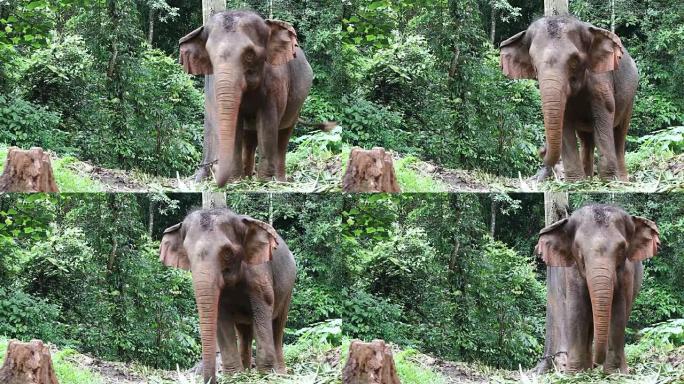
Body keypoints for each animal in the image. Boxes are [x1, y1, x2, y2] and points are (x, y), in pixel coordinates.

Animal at [162, 208, 298, 384]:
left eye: (227, 253)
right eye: (187, 254)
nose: (211, 379)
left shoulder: (259, 275)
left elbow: (263, 311)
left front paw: (266, 376)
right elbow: (221, 318)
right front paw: (235, 377)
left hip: (289, 287)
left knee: (278, 326)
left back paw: (280, 374)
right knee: (244, 331)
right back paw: (247, 372)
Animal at [179, 10, 312, 186]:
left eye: (249, 55)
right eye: (210, 57)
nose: (214, 171)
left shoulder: (276, 82)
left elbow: (267, 124)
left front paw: (264, 182)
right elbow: (237, 125)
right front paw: (235, 181)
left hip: (297, 106)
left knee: (283, 137)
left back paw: (280, 182)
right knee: (250, 138)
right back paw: (247, 178)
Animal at [500, 16, 640, 182]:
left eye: (574, 60)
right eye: (533, 63)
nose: (541, 149)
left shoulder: (601, 81)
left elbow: (603, 117)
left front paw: (609, 182)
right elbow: (565, 123)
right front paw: (576, 183)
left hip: (630, 97)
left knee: (620, 134)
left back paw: (622, 181)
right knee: (586, 139)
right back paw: (588, 179)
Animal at [536, 206, 660, 374]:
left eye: (622, 248)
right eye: (579, 250)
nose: (597, 363)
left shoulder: (626, 274)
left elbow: (618, 310)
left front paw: (615, 373)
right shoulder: (572, 272)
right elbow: (577, 309)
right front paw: (575, 373)